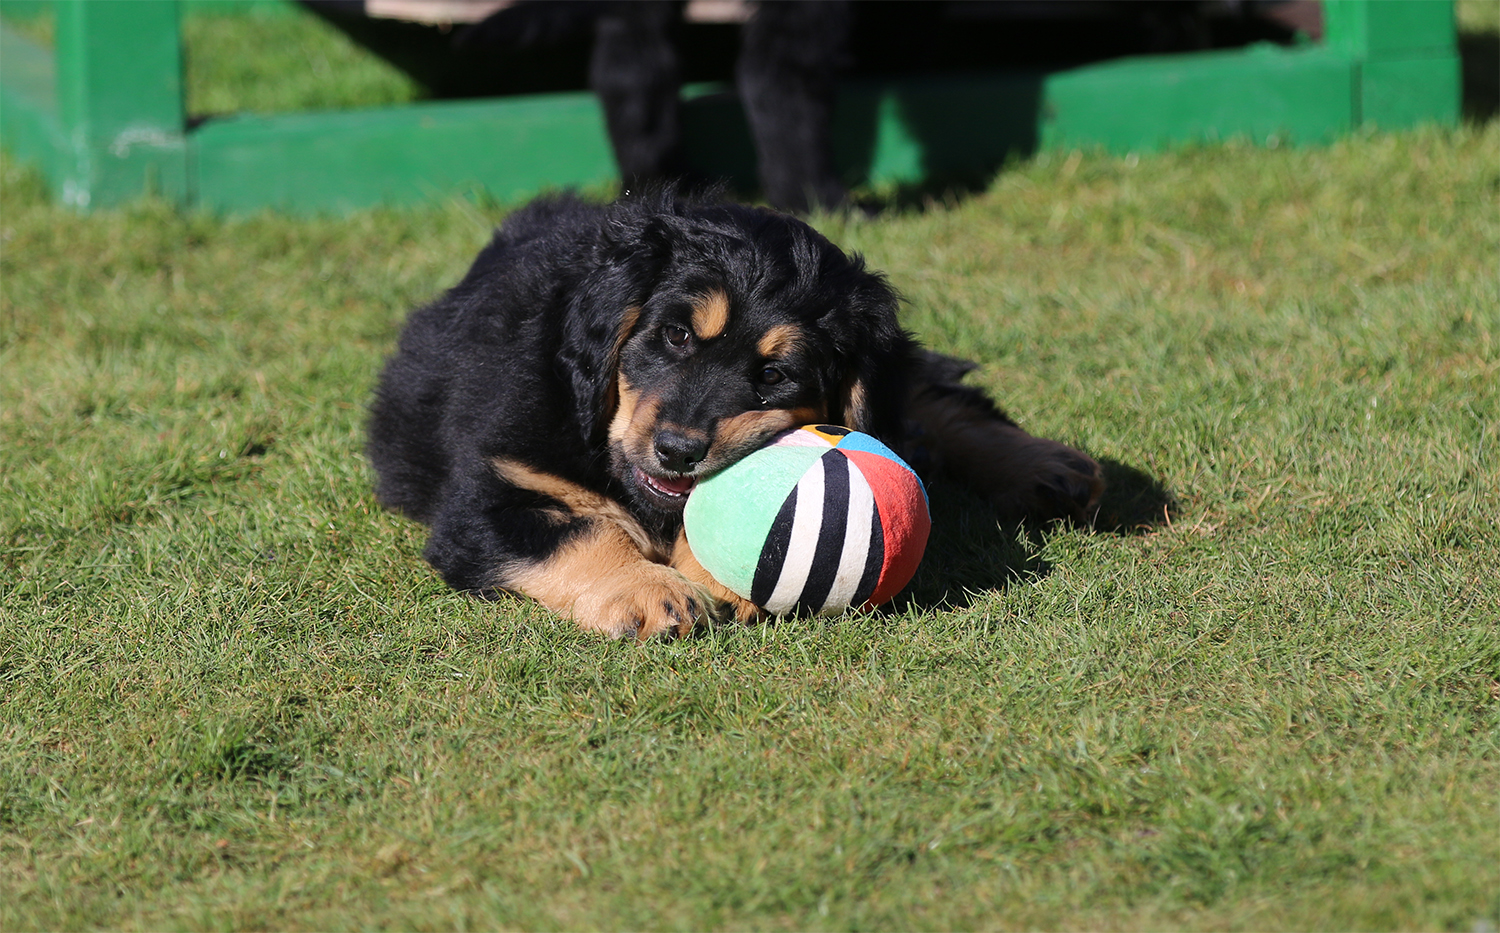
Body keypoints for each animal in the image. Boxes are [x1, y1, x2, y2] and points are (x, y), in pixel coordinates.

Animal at [368, 190, 1103, 639]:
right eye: (674, 336)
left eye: (773, 376)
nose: (677, 450)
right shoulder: (489, 497)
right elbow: (580, 533)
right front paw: (649, 591)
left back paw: (1049, 467)